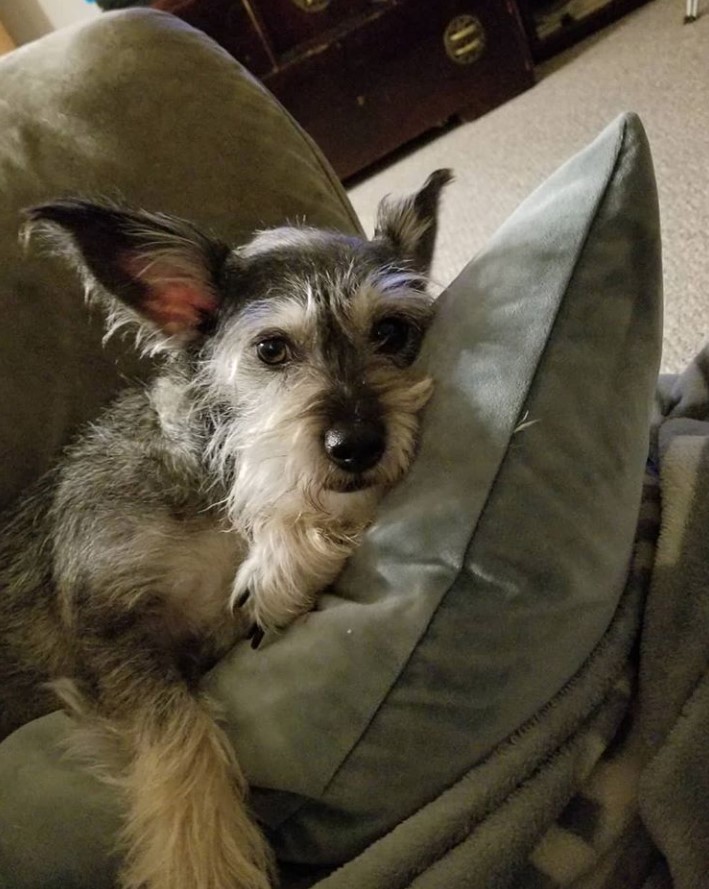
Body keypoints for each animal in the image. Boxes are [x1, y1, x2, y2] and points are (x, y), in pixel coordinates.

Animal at [0, 168, 450, 888]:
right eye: (271, 348)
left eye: (389, 331)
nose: (357, 446)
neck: (207, 482)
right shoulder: (107, 629)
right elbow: (178, 729)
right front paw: (202, 861)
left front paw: (282, 563)